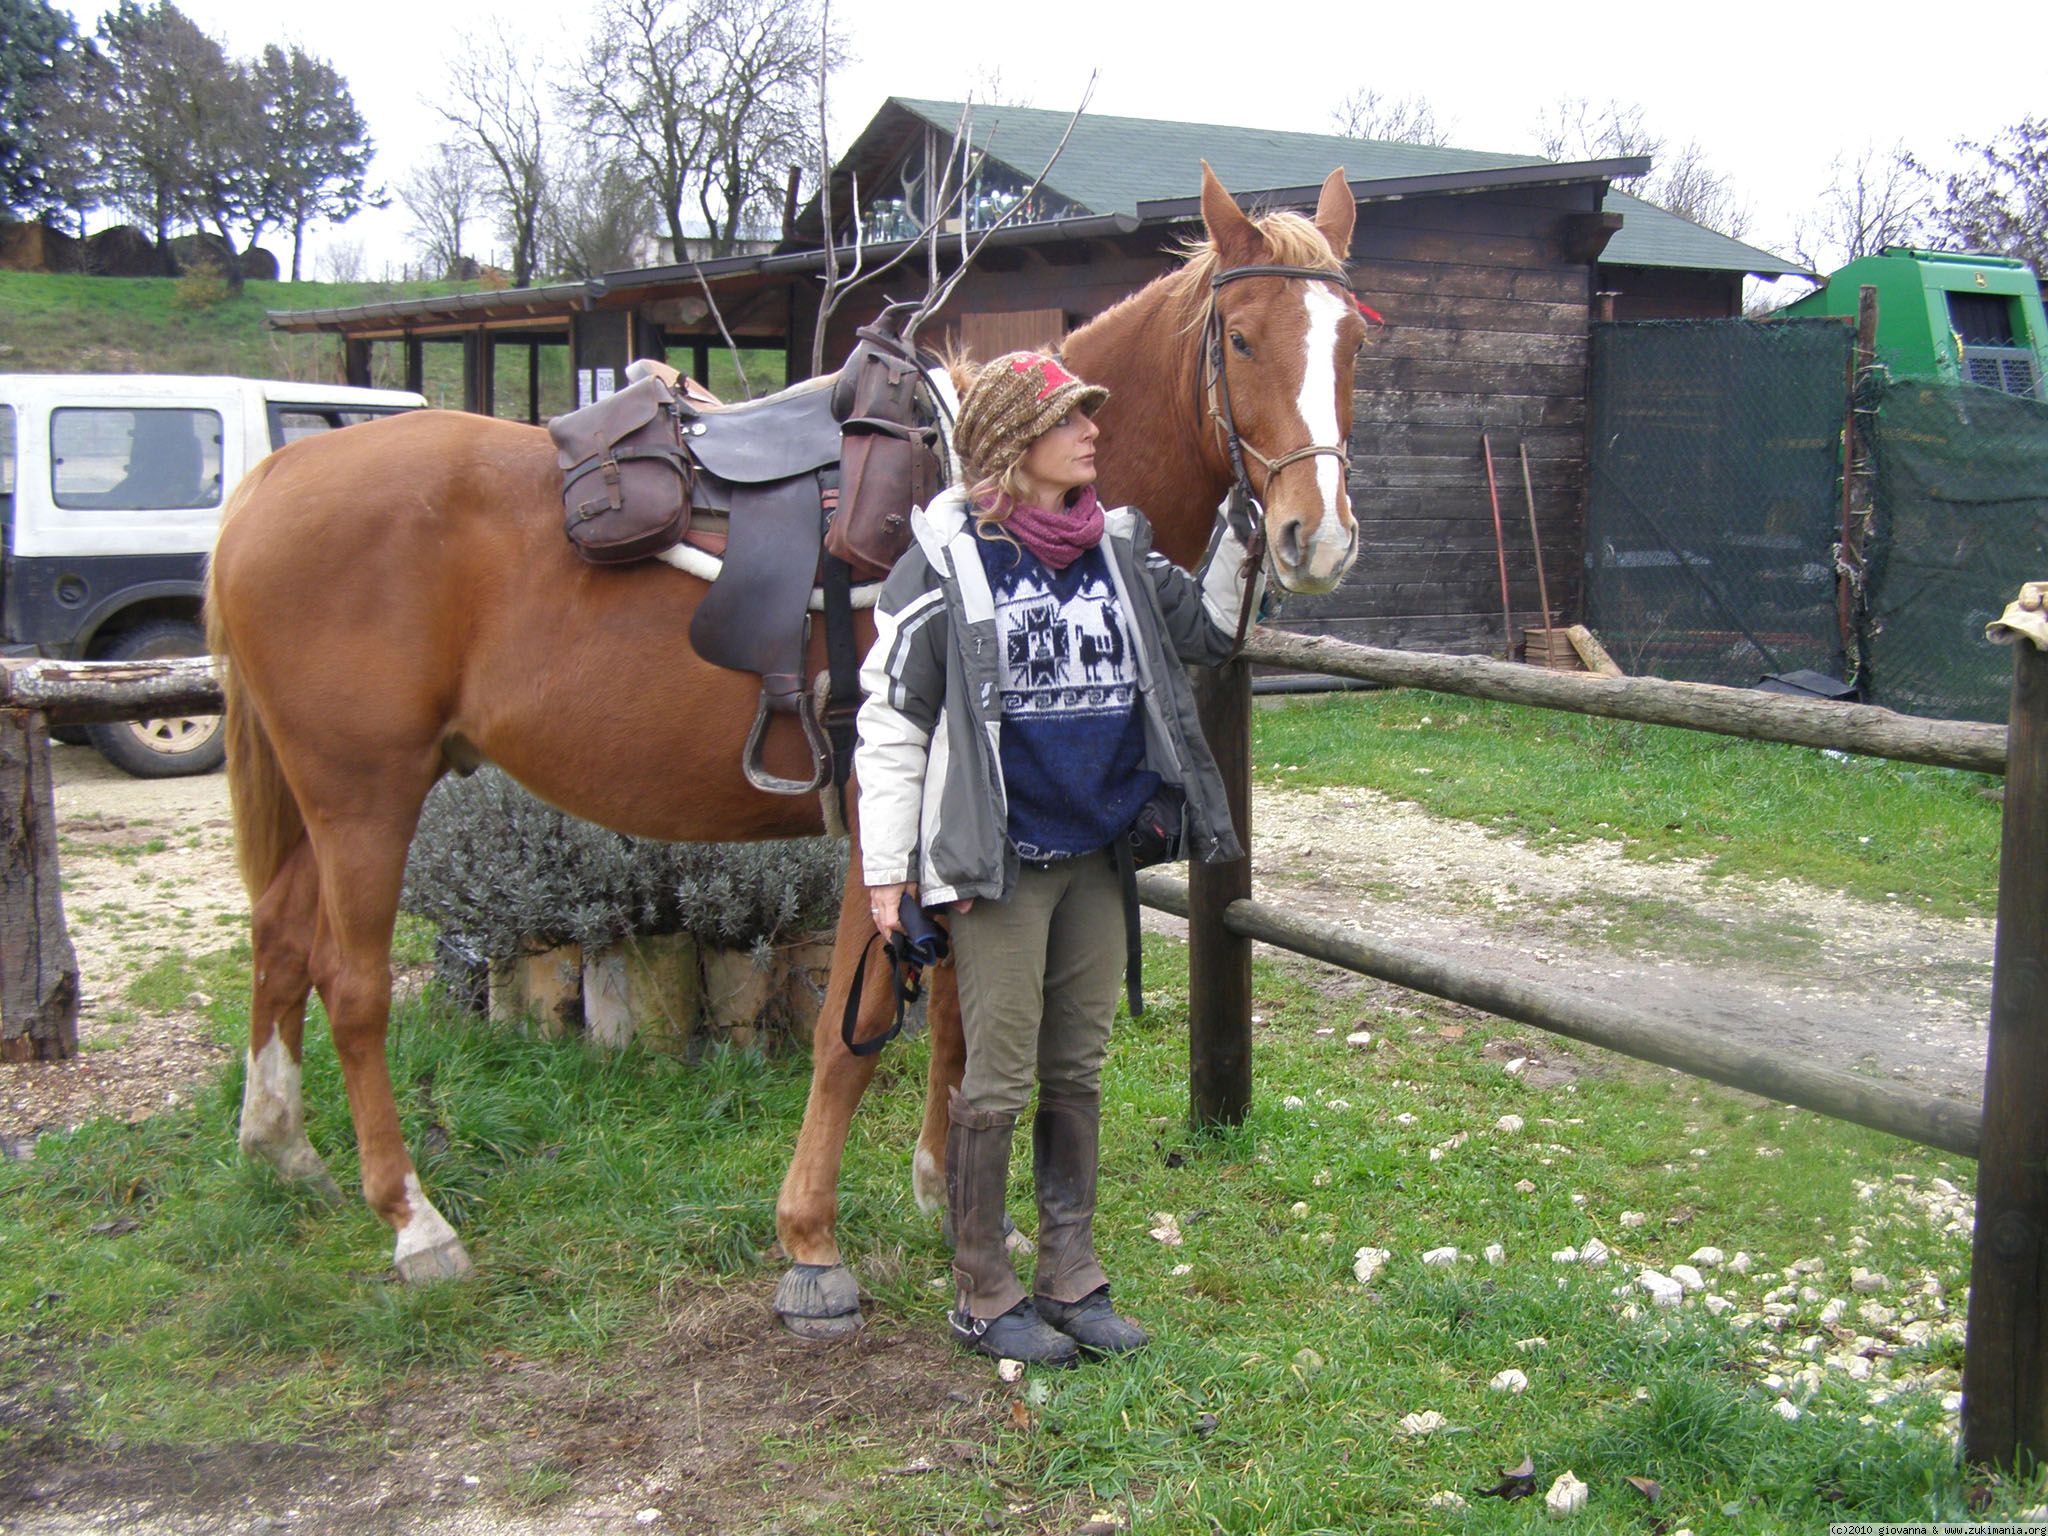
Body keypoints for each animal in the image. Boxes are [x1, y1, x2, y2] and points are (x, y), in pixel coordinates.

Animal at [207, 167, 1368, 1327]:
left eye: (1352, 341)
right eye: (1242, 339)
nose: (1315, 536)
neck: (974, 508)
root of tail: (270, 482)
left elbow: (956, 1016)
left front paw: (947, 1196)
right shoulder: (880, 824)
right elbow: (855, 1029)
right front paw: (811, 1238)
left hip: (323, 797)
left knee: (279, 939)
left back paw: (282, 1150)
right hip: (364, 792)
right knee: (348, 982)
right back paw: (415, 1226)